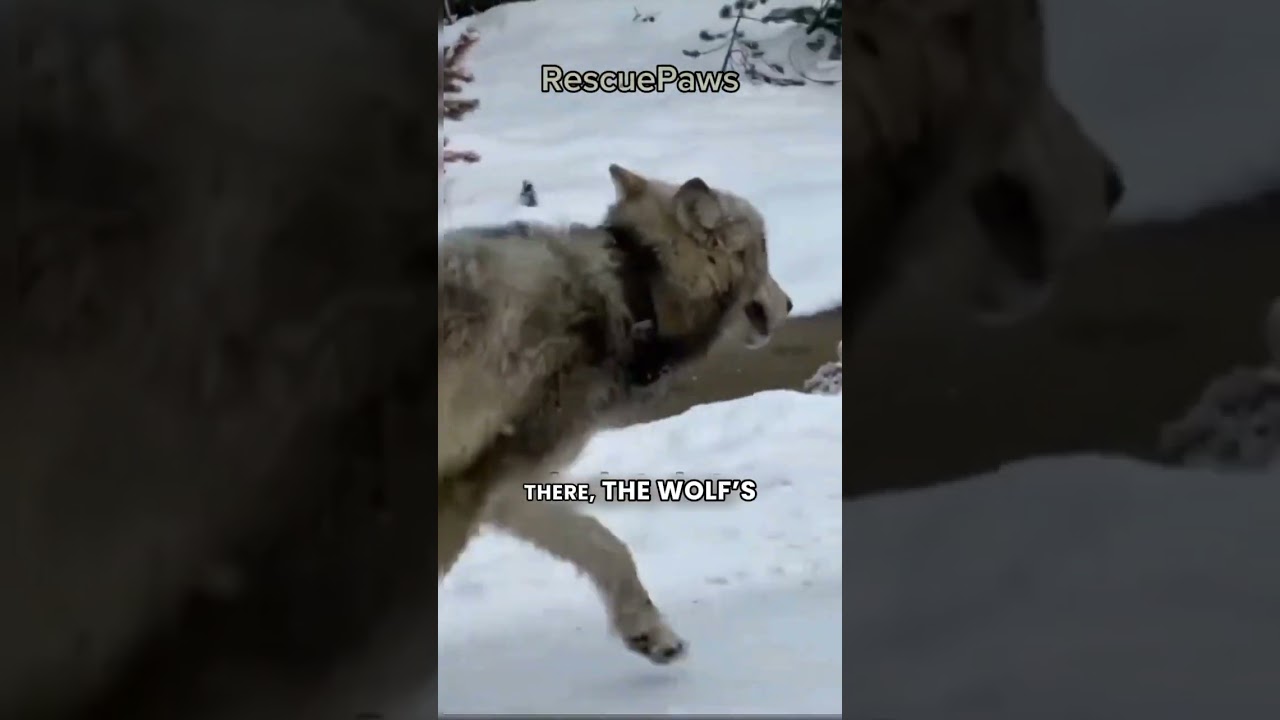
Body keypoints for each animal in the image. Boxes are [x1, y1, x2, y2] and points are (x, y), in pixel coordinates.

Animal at [438, 163, 792, 664]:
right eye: (764, 253)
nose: (791, 304)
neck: (632, 292)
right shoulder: (464, 487)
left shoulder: (504, 486)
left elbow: (606, 545)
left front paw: (649, 632)